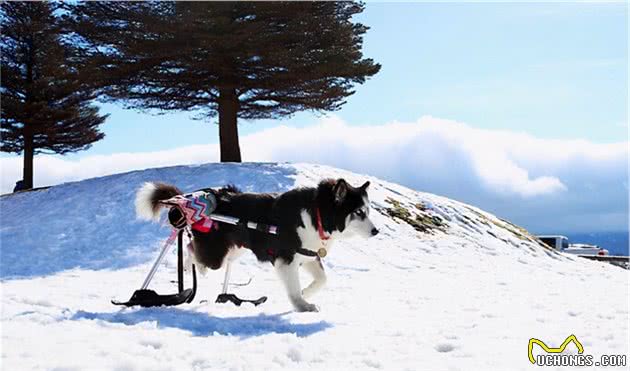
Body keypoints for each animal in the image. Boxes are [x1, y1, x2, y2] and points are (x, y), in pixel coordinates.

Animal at [136, 179, 378, 312]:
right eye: (358, 212)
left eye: (368, 211)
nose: (376, 231)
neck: (316, 214)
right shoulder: (286, 260)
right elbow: (294, 290)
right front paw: (303, 306)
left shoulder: (308, 255)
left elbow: (322, 280)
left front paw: (307, 293)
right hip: (216, 254)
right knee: (192, 250)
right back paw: (192, 267)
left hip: (234, 250)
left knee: (195, 250)